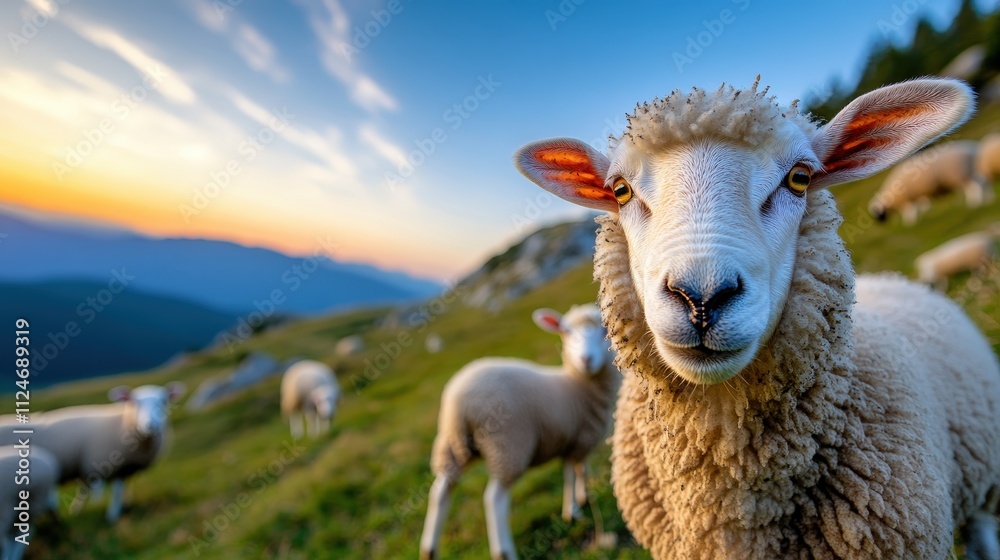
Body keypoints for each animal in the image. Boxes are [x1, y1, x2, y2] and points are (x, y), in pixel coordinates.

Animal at [0, 382, 186, 523]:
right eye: (134, 403)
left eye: (164, 401)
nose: (150, 425)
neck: (122, 422)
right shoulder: (108, 465)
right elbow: (115, 493)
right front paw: (112, 515)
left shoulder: (124, 468)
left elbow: (122, 490)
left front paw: (124, 505)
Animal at [419, 305, 620, 560]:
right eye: (566, 332)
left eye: (605, 329)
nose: (586, 360)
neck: (576, 385)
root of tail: (460, 401)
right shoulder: (579, 440)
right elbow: (572, 473)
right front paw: (572, 510)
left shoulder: (572, 441)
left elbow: (577, 470)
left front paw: (580, 498)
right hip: (507, 446)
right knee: (494, 500)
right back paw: (504, 552)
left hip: (453, 445)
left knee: (440, 491)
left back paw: (429, 550)